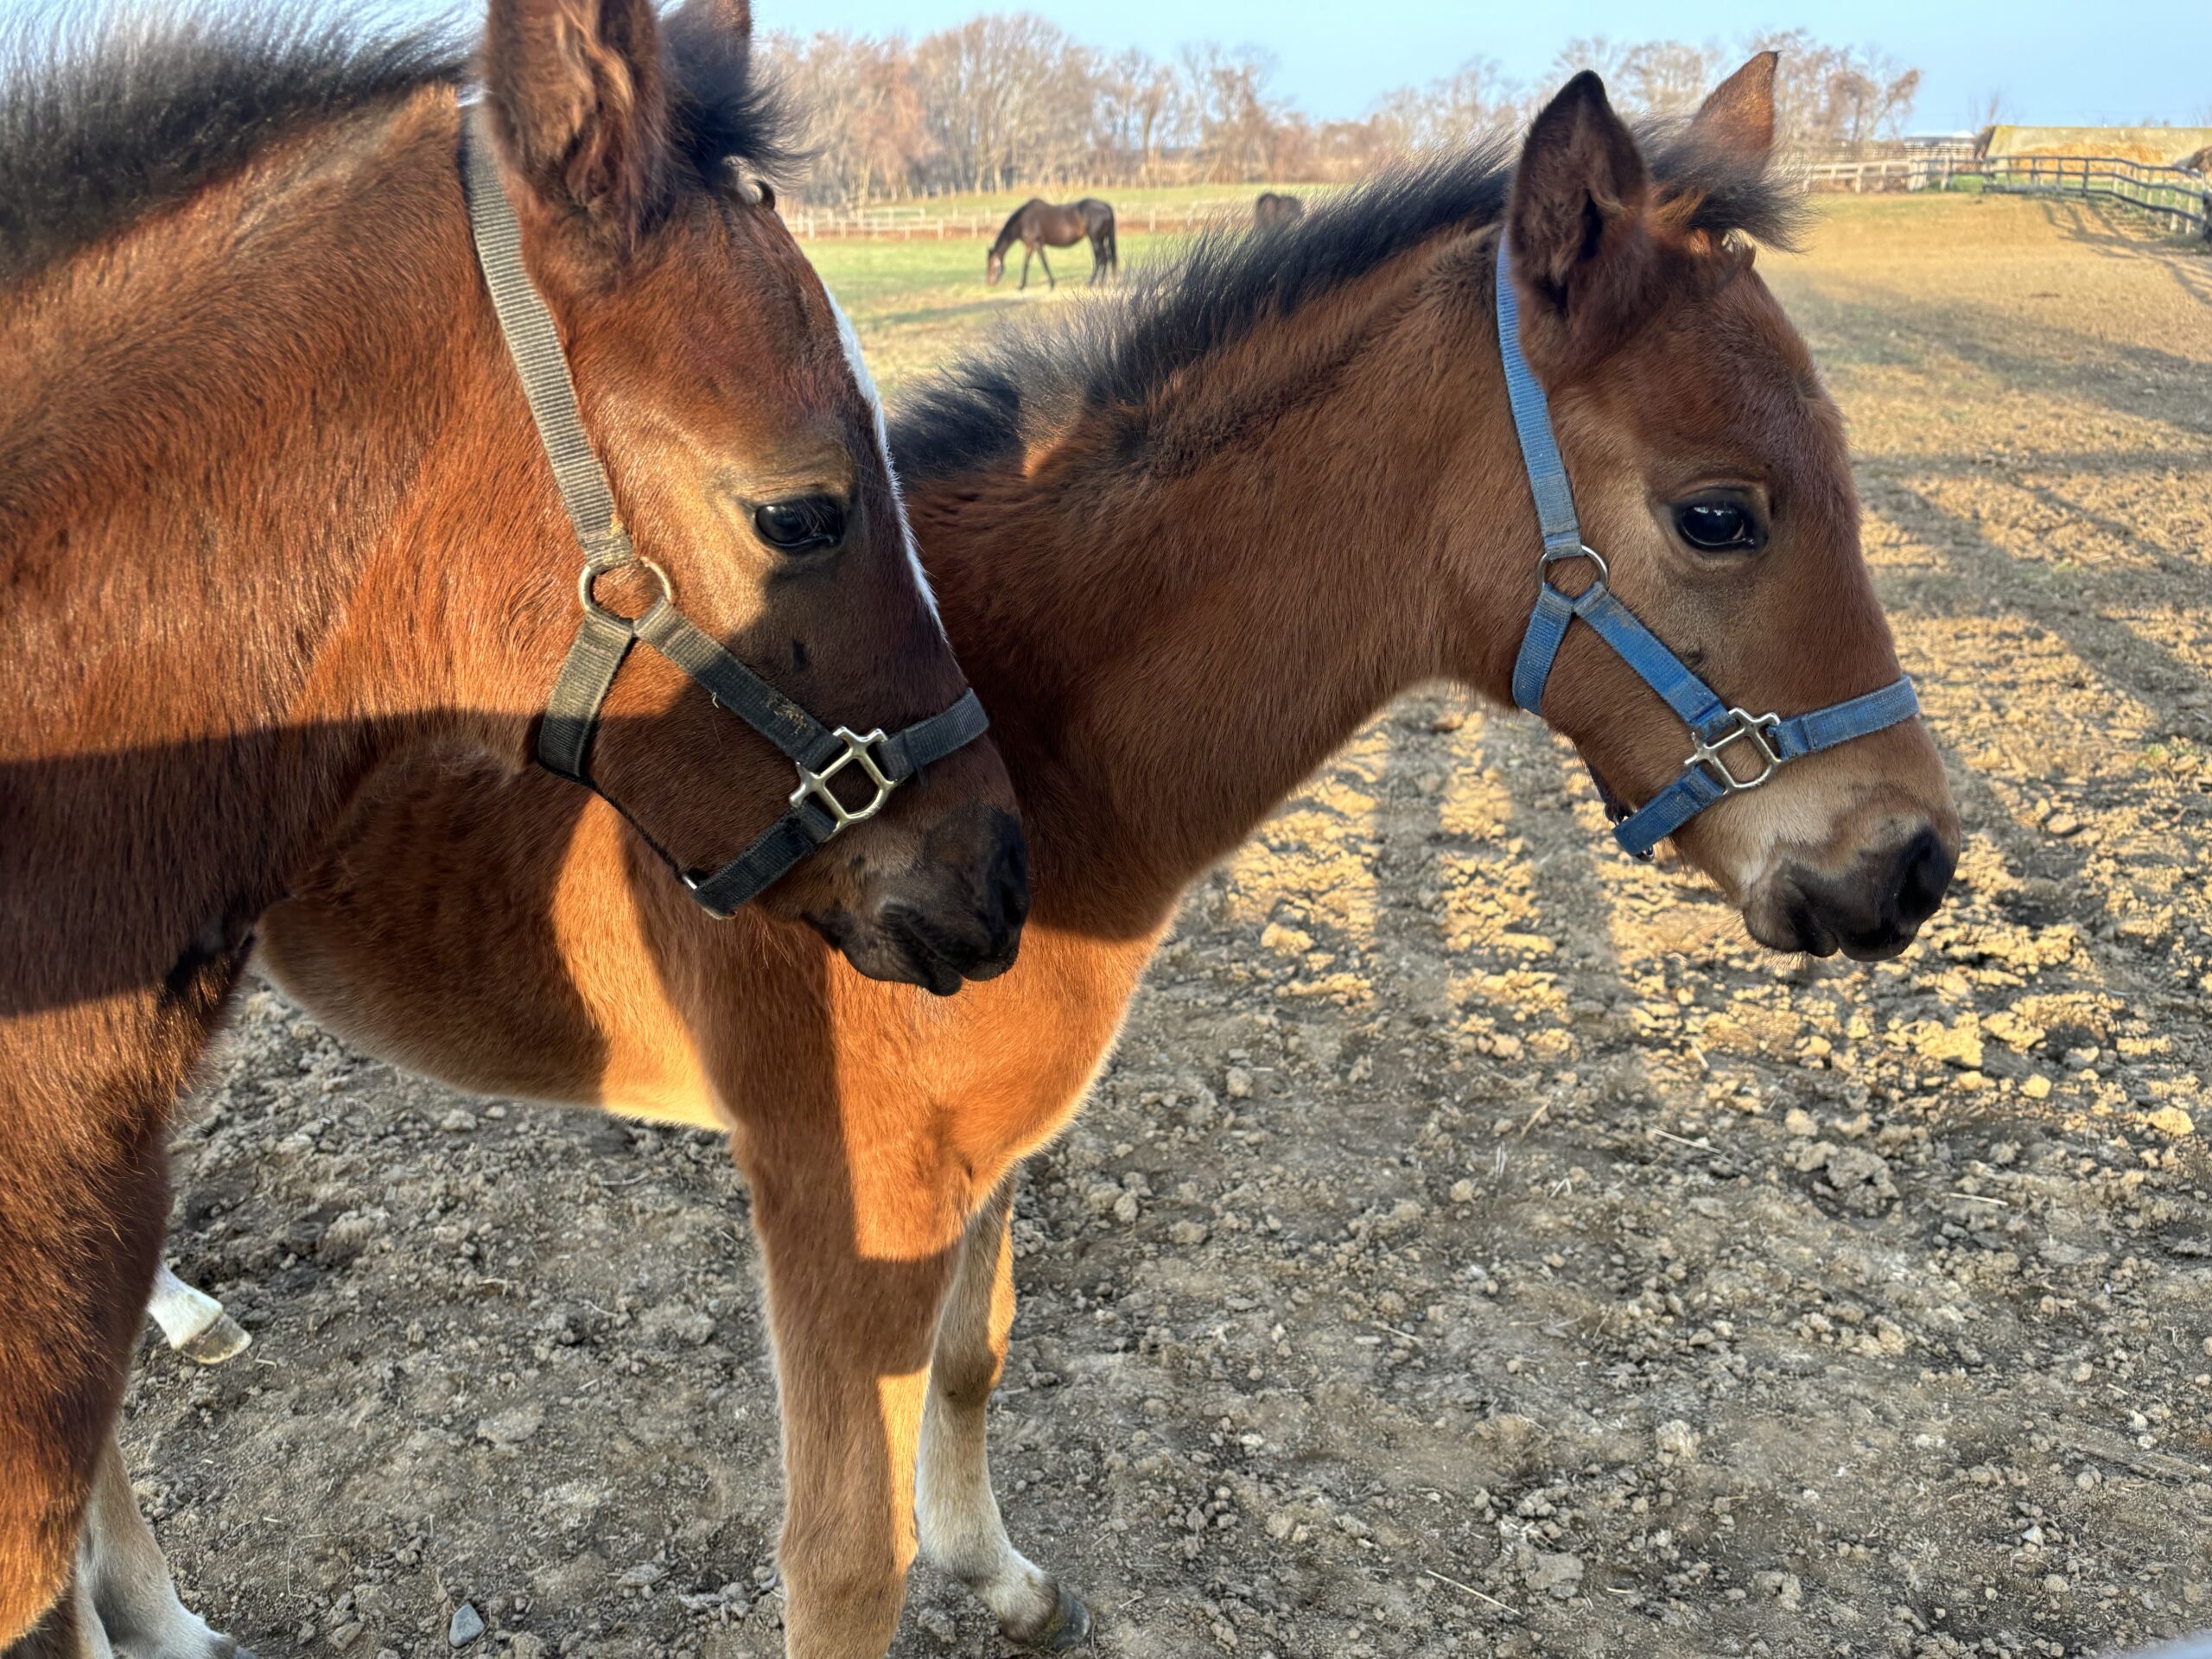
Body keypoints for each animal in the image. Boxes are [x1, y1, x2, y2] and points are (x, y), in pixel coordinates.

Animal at [990, 200, 1123, 289]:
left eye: (991, 265)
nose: (989, 282)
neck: (1023, 221)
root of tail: (1106, 206)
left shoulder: (1037, 244)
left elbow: (1044, 263)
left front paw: (1051, 284)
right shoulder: (1030, 246)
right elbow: (1026, 264)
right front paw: (1022, 285)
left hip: (1095, 239)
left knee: (1101, 258)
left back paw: (1093, 283)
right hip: (1101, 239)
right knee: (1106, 258)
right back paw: (1102, 282)